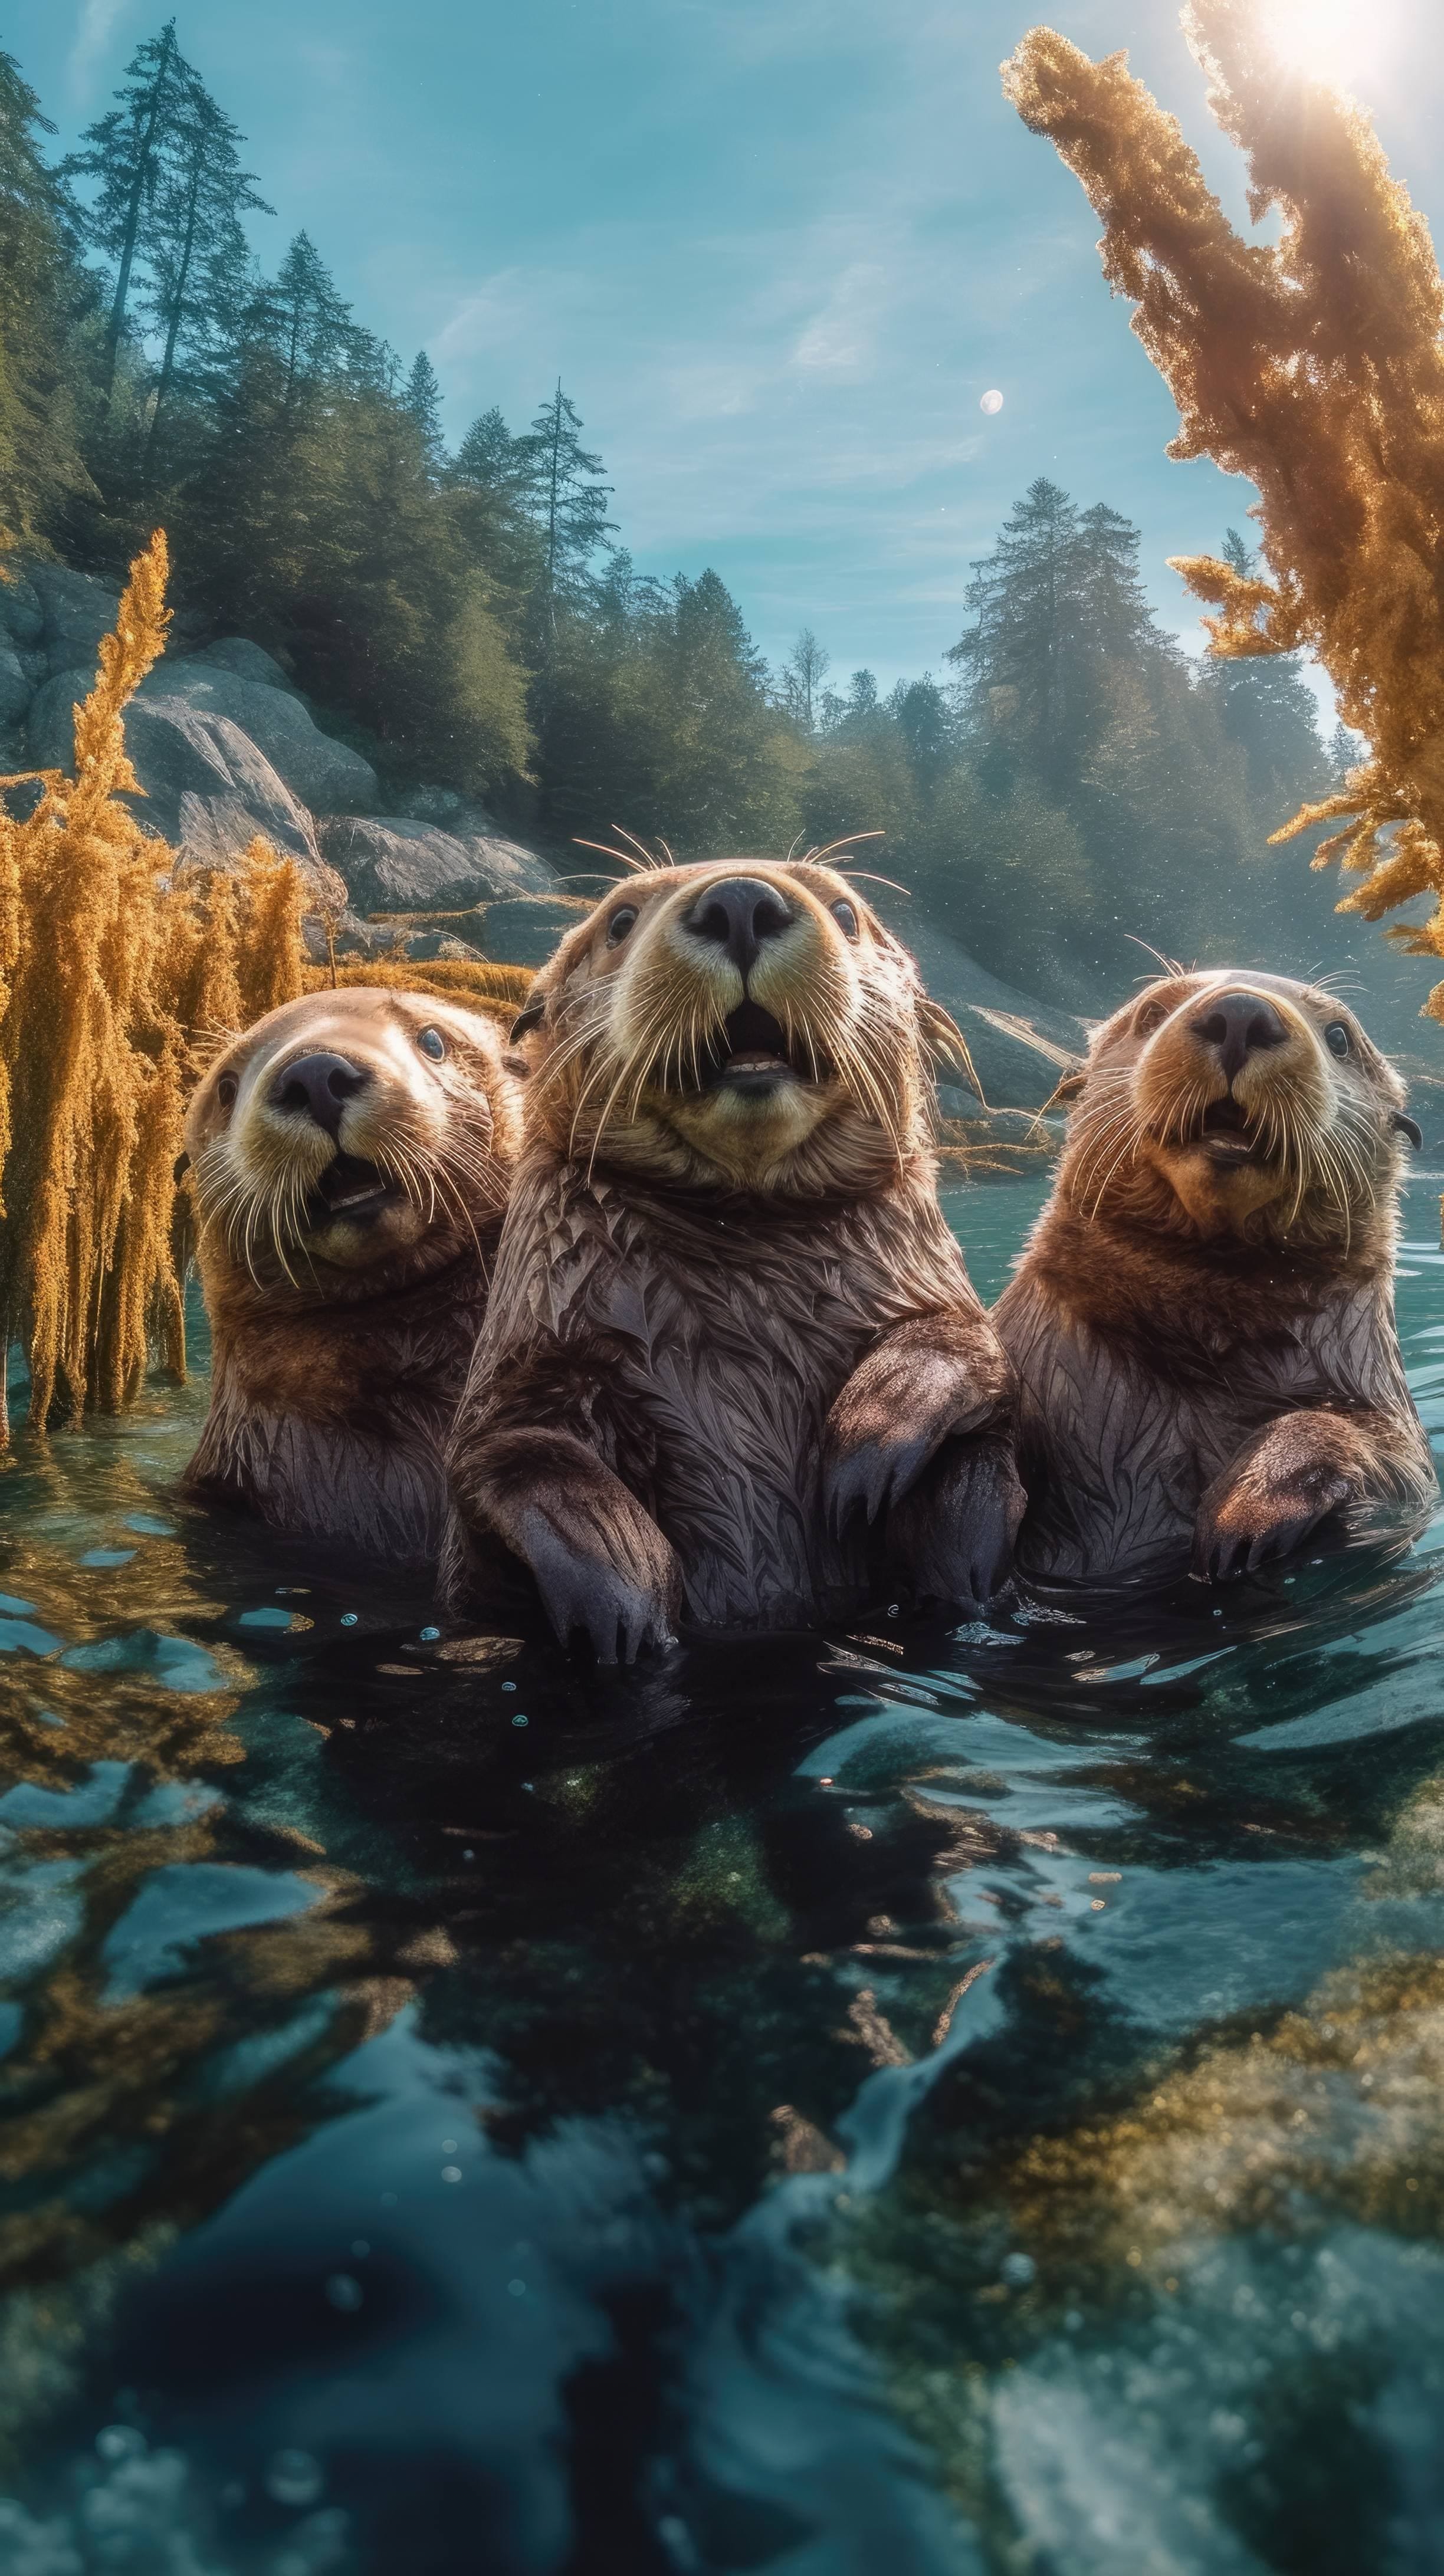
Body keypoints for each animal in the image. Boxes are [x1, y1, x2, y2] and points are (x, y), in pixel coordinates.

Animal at [440, 856, 1021, 1659]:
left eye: (847, 912)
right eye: (620, 921)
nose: (741, 900)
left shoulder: (933, 1293)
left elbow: (972, 1358)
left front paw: (870, 1446)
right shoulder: (532, 1361)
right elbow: (515, 1455)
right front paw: (628, 1597)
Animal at [994, 970, 1434, 1587]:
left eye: (1340, 1038)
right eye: (1151, 1013)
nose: (1243, 1012)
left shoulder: (1387, 1417)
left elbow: (1384, 1457)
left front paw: (1243, 1511)